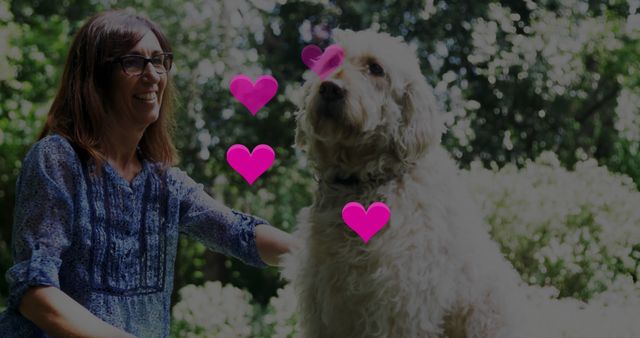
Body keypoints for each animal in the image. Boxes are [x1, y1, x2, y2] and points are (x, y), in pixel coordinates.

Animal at [284, 29, 640, 338]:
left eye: (375, 68)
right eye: (331, 61)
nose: (330, 89)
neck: (365, 181)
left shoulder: (398, 304)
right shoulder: (325, 304)